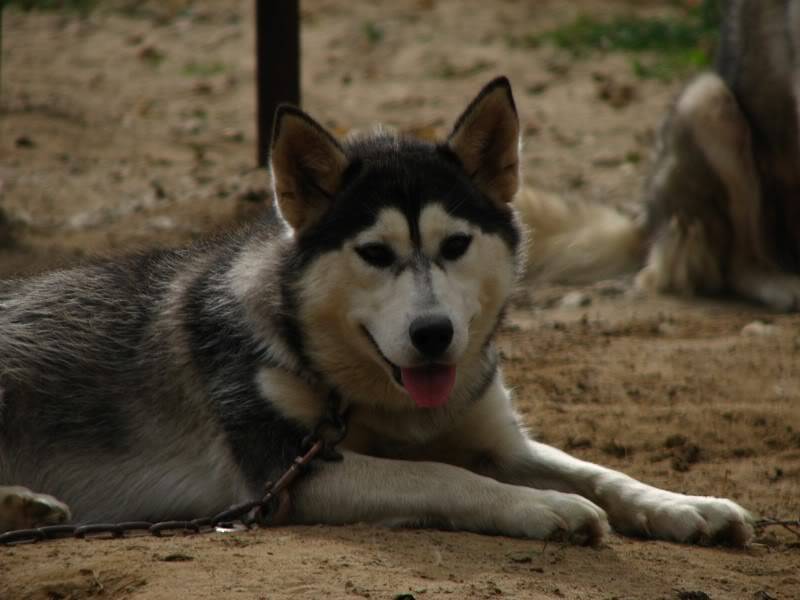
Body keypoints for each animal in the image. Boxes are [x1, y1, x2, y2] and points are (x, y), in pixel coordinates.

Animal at [0, 77, 752, 548]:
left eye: (455, 246)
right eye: (374, 253)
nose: (433, 335)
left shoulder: (498, 440)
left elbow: (602, 472)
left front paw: (686, 506)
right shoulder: (288, 476)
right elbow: (444, 476)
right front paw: (546, 507)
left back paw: (29, 506)